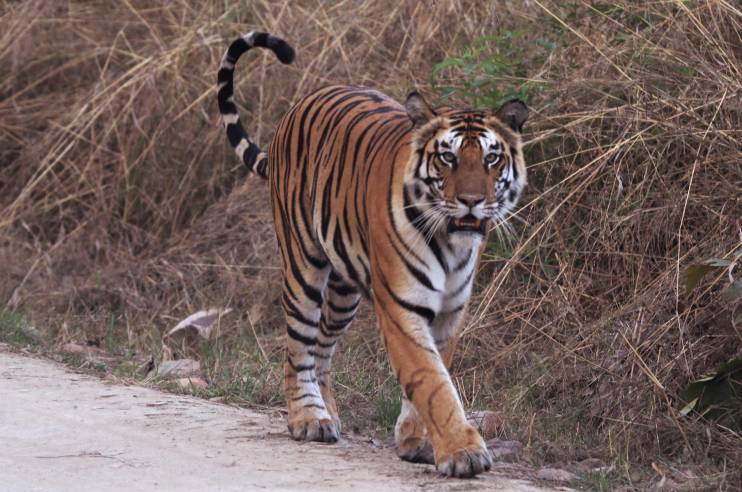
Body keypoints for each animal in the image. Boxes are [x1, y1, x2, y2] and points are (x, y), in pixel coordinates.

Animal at [217, 30, 528, 476]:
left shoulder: (450, 310)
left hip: (344, 291)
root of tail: (303, 102)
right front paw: (463, 452)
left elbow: (433, 374)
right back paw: (308, 418)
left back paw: (328, 412)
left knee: (322, 345)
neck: (452, 243)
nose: (472, 201)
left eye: (491, 158)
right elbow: (432, 381)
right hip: (302, 265)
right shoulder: (401, 307)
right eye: (447, 157)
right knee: (298, 346)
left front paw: (417, 441)